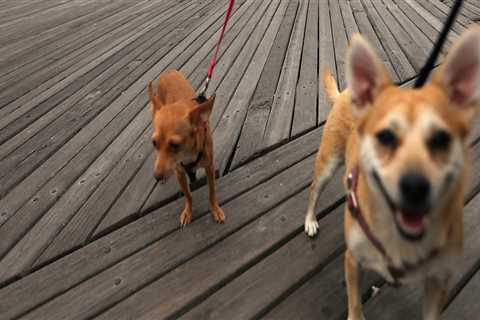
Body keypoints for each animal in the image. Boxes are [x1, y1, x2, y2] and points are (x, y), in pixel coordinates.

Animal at [148, 69, 225, 225]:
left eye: (175, 145)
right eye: (154, 143)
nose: (157, 176)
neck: (188, 155)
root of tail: (168, 71)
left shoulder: (209, 168)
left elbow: (211, 192)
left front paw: (215, 209)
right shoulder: (179, 173)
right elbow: (188, 195)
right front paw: (188, 212)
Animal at [304, 27, 480, 320]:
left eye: (441, 140)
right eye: (385, 137)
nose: (415, 187)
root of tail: (346, 93)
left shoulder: (437, 282)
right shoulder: (352, 260)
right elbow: (355, 304)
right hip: (327, 163)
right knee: (313, 191)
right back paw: (310, 221)